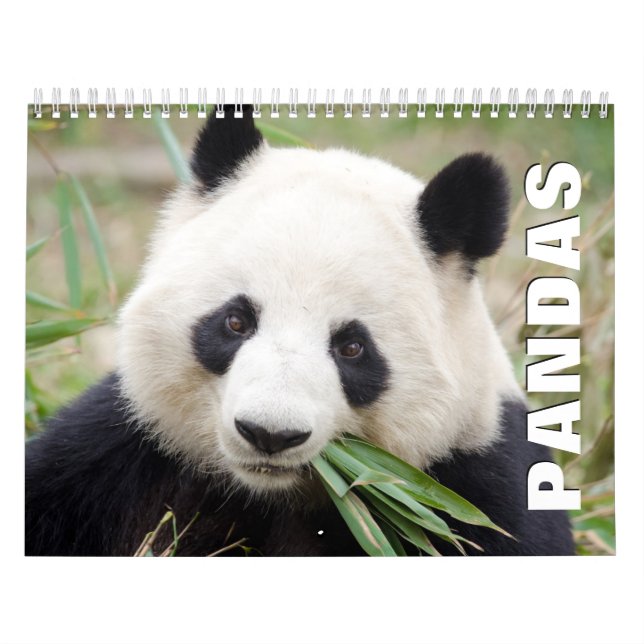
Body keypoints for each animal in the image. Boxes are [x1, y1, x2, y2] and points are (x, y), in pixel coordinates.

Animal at [25, 106, 574, 556]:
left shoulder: (472, 485)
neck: (270, 495)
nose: (269, 434)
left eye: (352, 347)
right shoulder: (120, 455)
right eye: (236, 321)